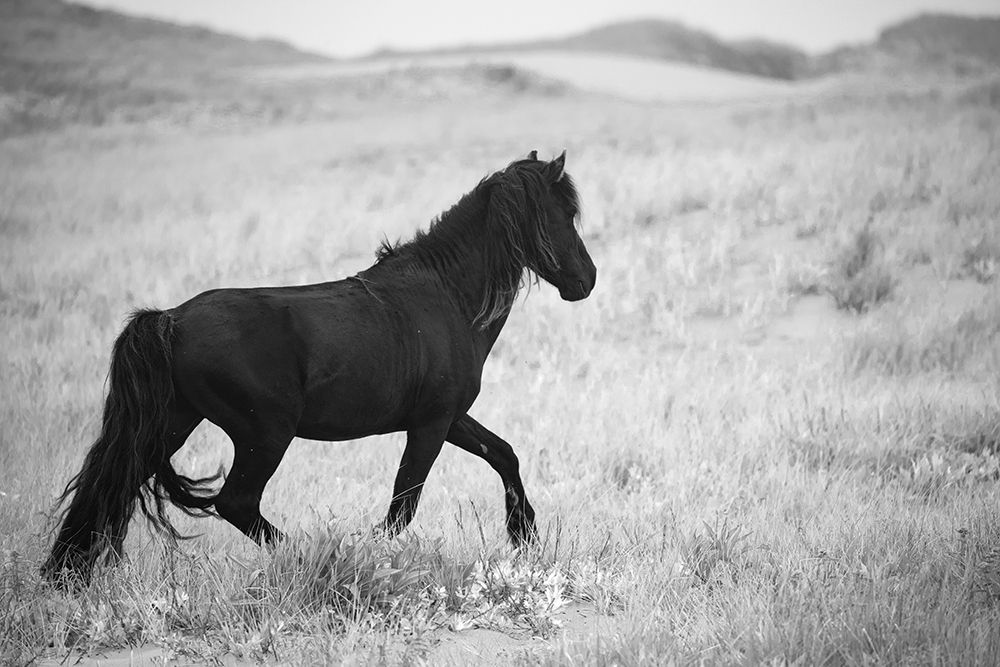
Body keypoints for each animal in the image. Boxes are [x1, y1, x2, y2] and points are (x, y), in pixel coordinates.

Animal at [43, 150, 596, 582]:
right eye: (566, 213)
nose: (587, 279)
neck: (446, 297)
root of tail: (172, 320)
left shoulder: (448, 418)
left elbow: (504, 455)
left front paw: (525, 535)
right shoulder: (431, 425)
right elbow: (403, 506)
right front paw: (376, 560)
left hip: (172, 423)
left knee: (110, 481)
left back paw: (65, 574)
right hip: (265, 434)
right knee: (236, 502)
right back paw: (315, 560)